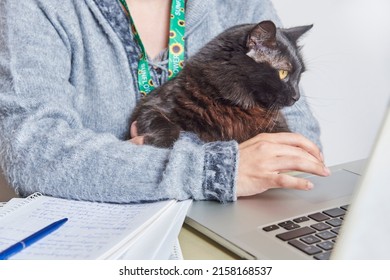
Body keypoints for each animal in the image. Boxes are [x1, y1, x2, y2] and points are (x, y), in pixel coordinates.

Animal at [129, 20, 312, 148]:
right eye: (283, 73)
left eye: (300, 75)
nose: (297, 96)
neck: (234, 105)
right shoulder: (152, 105)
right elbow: (166, 125)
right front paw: (157, 143)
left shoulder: (279, 128)